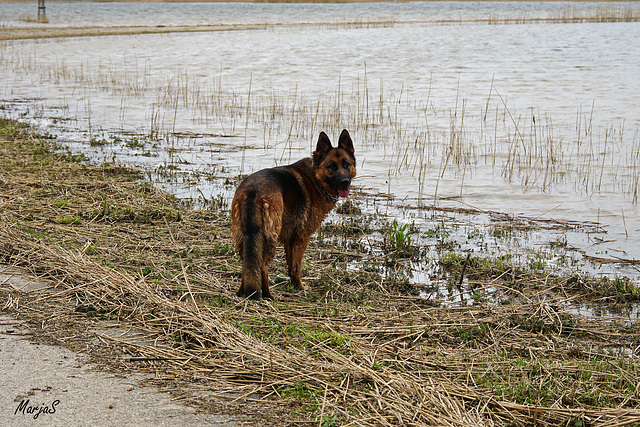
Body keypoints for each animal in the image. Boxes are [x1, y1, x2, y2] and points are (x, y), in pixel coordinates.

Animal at [232, 129, 358, 300]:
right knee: (263, 267)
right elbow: (296, 266)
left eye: (346, 164)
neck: (316, 179)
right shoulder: (301, 238)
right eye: (331, 166)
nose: (345, 181)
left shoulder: (289, 239)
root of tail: (253, 191)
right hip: (270, 238)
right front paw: (299, 286)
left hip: (244, 238)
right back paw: (268, 295)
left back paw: (242, 292)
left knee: (247, 265)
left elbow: (290, 265)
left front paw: (293, 285)